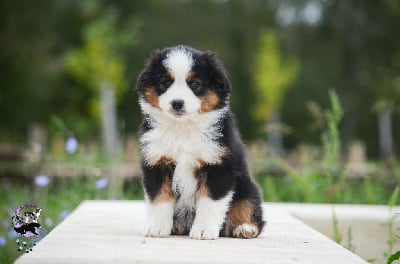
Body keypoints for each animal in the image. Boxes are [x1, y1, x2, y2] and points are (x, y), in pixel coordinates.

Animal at [136, 45, 264, 239]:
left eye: (194, 84)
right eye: (165, 82)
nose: (177, 103)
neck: (183, 129)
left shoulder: (218, 165)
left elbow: (209, 203)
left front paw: (203, 230)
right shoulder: (157, 161)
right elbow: (159, 199)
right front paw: (156, 227)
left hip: (247, 189)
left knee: (250, 209)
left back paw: (245, 228)